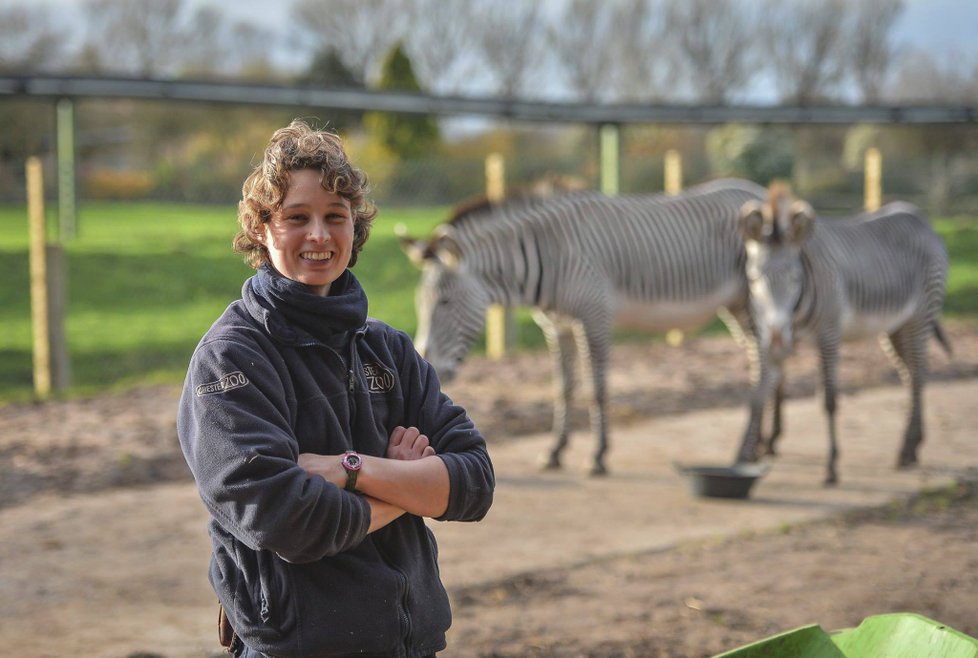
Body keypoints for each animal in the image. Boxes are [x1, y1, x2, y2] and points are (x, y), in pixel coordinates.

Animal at [396, 176, 772, 472]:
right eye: (419, 303)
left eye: (445, 303)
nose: (428, 365)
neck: (549, 252)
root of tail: (758, 191)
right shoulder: (557, 325)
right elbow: (563, 387)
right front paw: (554, 452)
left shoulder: (594, 316)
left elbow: (597, 388)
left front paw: (599, 455)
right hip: (736, 305)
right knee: (766, 363)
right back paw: (762, 447)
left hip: (753, 299)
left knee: (763, 365)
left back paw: (745, 451)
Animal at [736, 182, 948, 484]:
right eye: (753, 279)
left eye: (795, 278)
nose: (777, 337)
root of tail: (917, 215)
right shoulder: (773, 336)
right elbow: (761, 393)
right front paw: (749, 455)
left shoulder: (829, 335)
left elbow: (829, 401)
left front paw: (832, 466)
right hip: (897, 326)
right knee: (912, 375)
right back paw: (913, 447)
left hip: (920, 315)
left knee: (919, 373)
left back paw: (906, 449)